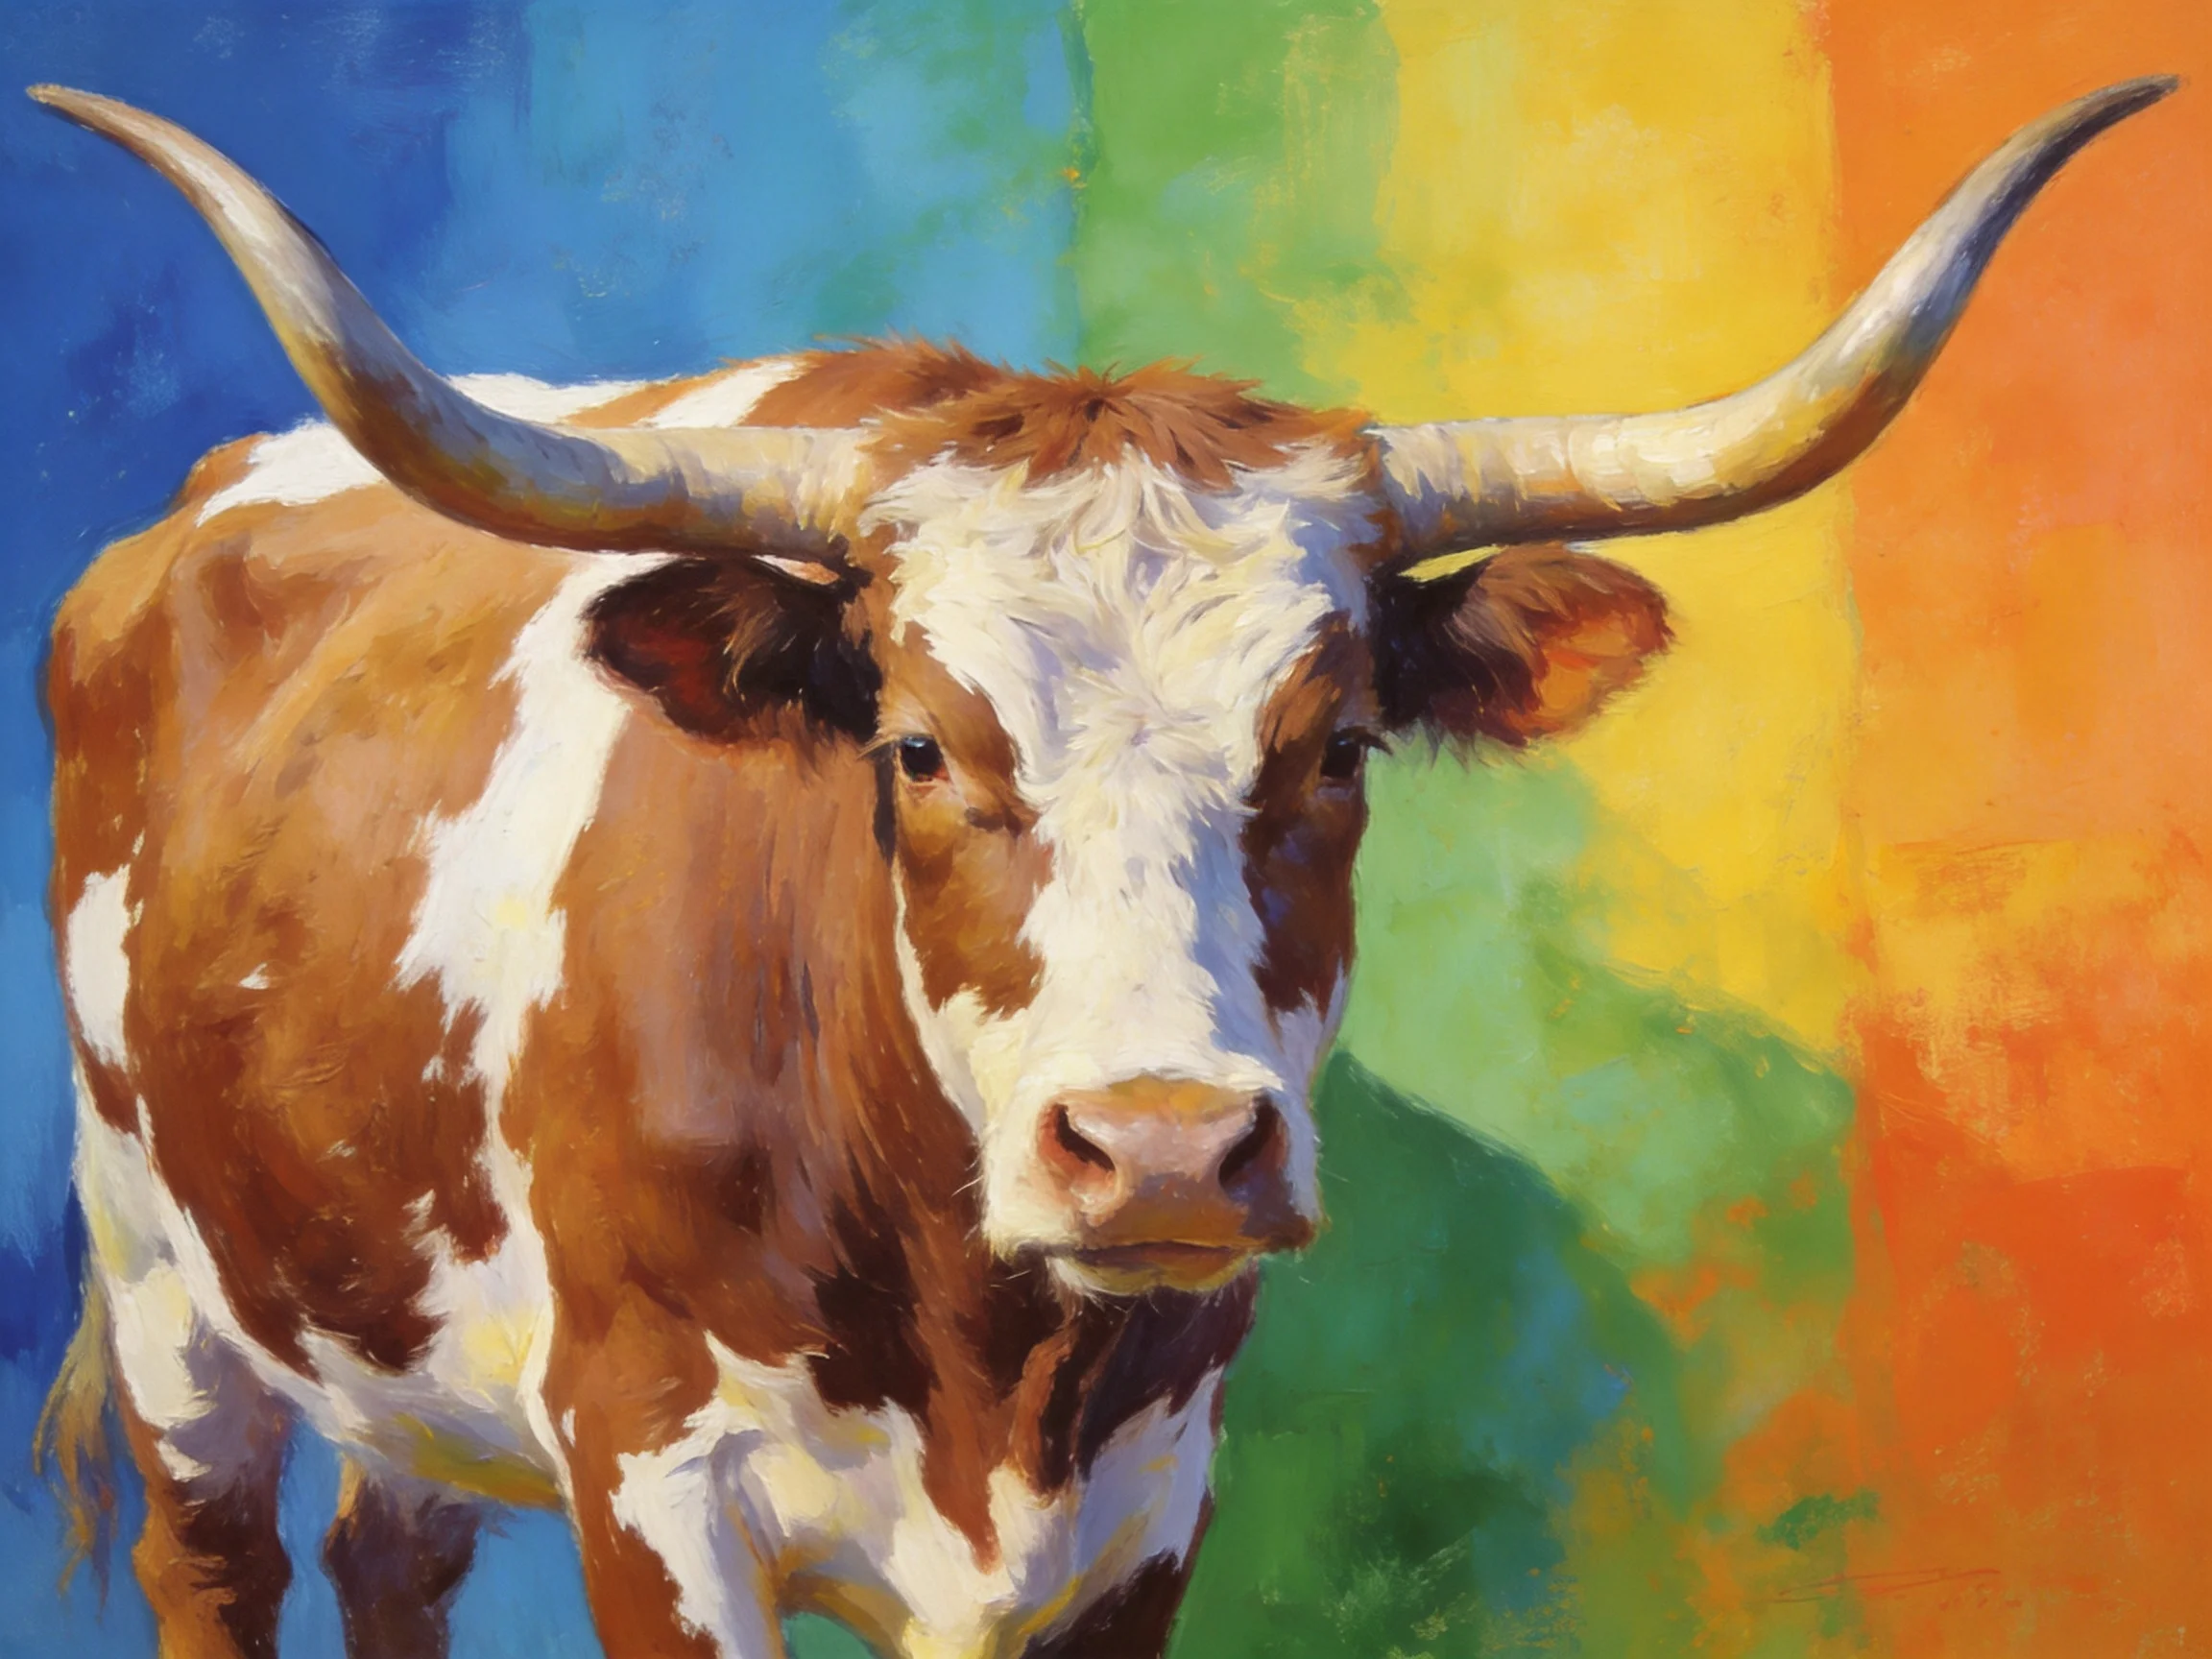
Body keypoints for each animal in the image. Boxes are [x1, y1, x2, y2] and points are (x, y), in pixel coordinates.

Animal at [29, 76, 2169, 1659]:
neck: (994, 1365)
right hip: (165, 1287)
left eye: (1336, 746)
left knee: (394, 1555)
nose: (1157, 1148)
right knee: (216, 1559)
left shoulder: (1142, 1511)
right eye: (913, 745)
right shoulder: (653, 1476)